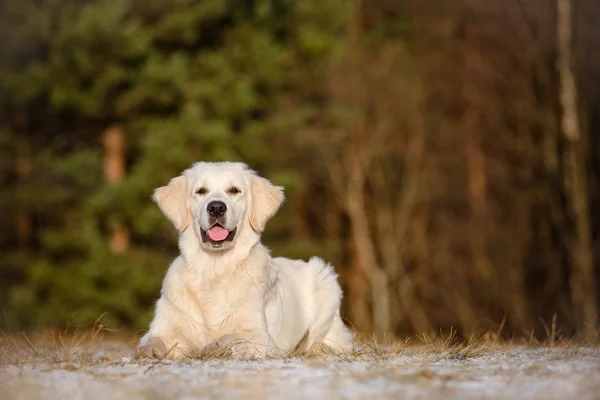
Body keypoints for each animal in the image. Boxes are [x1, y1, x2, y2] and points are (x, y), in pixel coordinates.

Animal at [138, 162, 354, 360]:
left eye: (234, 190)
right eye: (201, 191)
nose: (216, 207)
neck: (214, 268)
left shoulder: (260, 336)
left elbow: (231, 337)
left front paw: (213, 347)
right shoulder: (166, 325)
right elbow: (152, 340)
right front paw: (147, 351)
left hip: (325, 280)